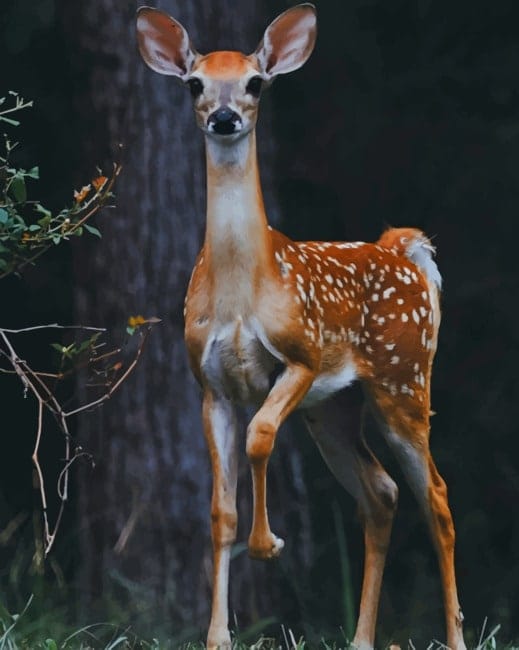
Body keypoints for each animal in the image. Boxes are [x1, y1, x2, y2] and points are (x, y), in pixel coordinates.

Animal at [136, 4, 466, 649]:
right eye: (194, 84)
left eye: (255, 83)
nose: (225, 117)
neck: (242, 291)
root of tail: (404, 251)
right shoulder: (209, 384)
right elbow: (220, 510)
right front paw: (218, 636)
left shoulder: (302, 356)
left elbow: (260, 435)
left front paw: (268, 545)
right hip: (334, 409)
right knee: (381, 494)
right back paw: (360, 639)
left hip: (404, 381)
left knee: (436, 497)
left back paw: (457, 637)